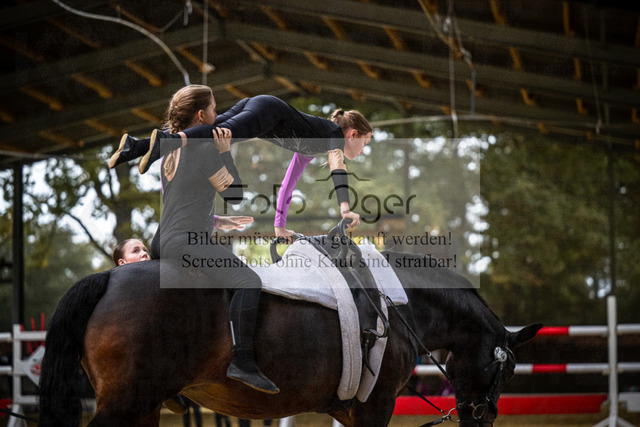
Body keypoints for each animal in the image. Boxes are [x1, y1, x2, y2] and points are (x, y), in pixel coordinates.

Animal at [38, 249, 541, 427]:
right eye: (508, 370)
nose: (483, 418)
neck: (399, 304)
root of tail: (109, 275)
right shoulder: (375, 407)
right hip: (124, 404)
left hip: (141, 407)